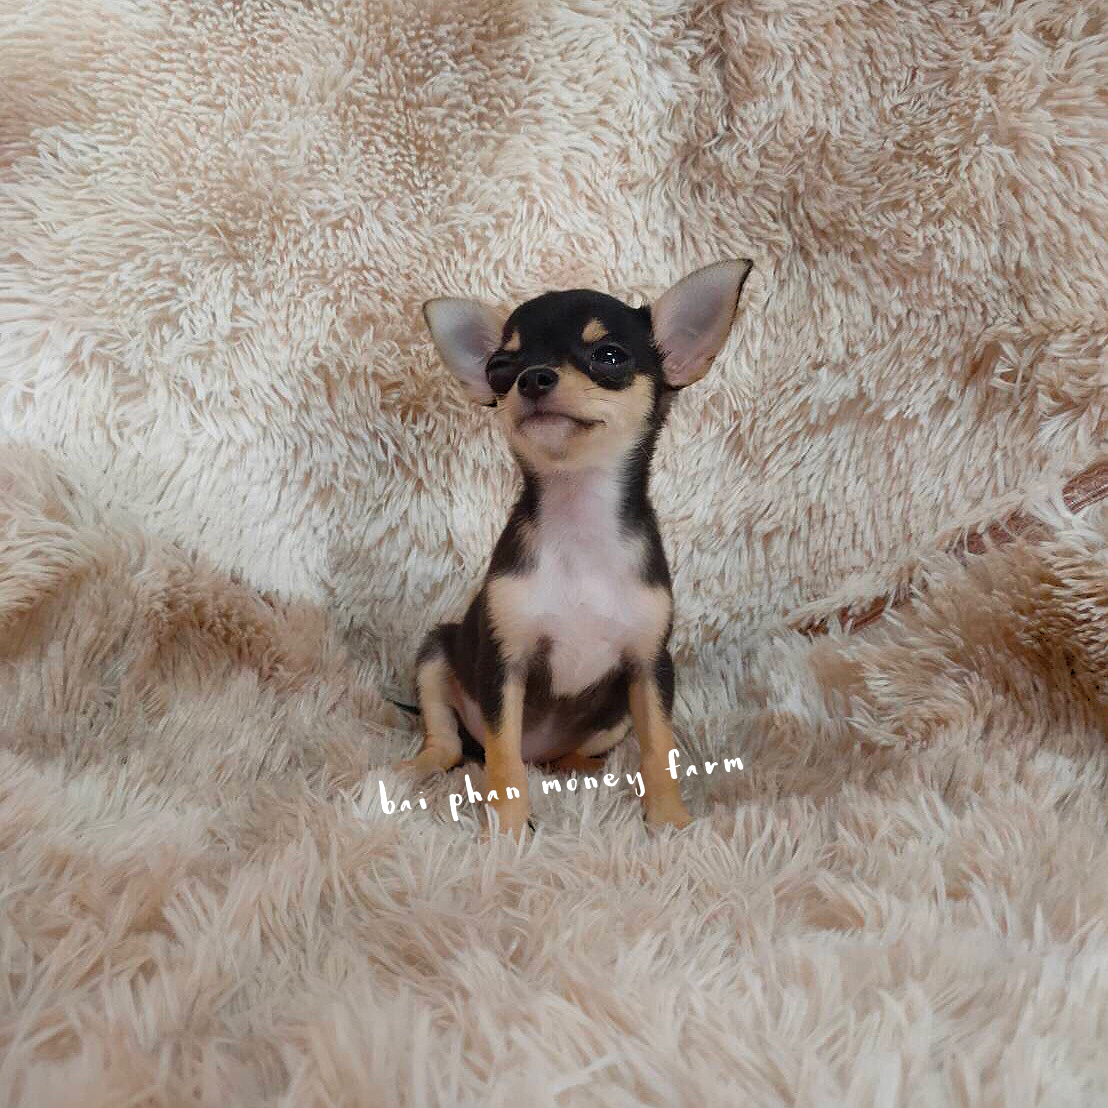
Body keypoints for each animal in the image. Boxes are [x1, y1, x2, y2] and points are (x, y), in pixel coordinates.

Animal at [399, 260, 753, 835]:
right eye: (500, 367)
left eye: (608, 356)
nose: (532, 377)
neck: (579, 517)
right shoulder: (504, 666)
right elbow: (503, 760)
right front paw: (510, 830)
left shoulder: (650, 668)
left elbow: (660, 749)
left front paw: (669, 820)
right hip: (436, 654)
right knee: (457, 746)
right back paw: (416, 768)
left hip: (614, 714)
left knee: (566, 754)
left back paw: (584, 770)